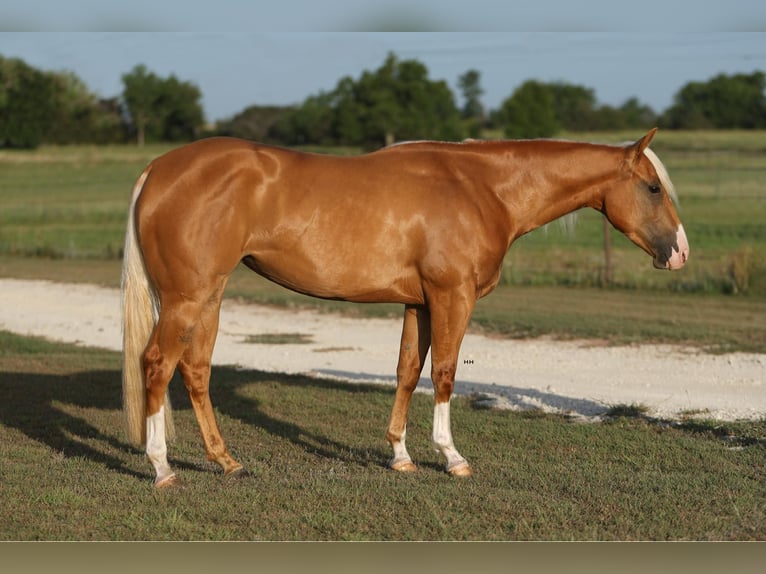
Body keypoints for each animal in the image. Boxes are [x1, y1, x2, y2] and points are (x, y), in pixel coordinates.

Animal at [121, 128, 689, 487]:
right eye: (652, 187)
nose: (680, 252)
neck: (481, 188)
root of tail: (158, 169)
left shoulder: (419, 304)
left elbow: (407, 371)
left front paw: (400, 456)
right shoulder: (451, 296)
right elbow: (444, 374)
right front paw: (452, 458)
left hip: (209, 297)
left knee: (194, 370)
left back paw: (226, 462)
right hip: (188, 299)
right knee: (157, 365)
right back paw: (162, 468)